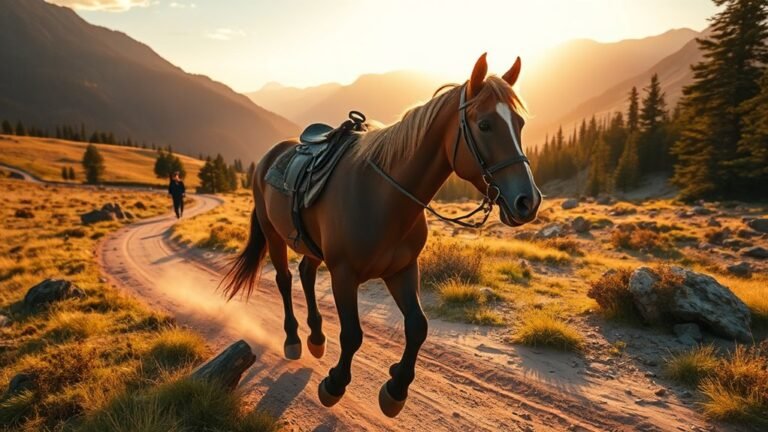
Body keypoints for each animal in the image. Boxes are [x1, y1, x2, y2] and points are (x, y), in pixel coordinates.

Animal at [222, 53, 542, 417]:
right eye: (485, 124)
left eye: (519, 123)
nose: (528, 201)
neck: (383, 197)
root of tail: (268, 157)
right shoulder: (344, 274)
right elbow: (352, 335)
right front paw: (335, 383)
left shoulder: (402, 270)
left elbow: (418, 327)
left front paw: (396, 388)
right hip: (273, 234)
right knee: (285, 280)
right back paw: (294, 339)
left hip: (311, 245)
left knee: (305, 273)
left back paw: (317, 337)